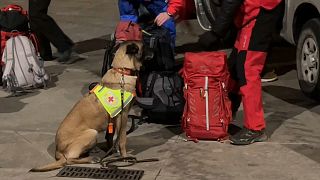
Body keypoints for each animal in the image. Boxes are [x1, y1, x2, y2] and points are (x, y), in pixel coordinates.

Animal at [30, 40, 144, 172]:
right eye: (146, 46)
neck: (122, 71)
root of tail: (58, 151)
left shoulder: (116, 118)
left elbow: (114, 137)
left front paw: (114, 150)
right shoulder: (123, 115)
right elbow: (122, 139)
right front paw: (124, 157)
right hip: (91, 133)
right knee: (69, 159)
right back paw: (91, 158)